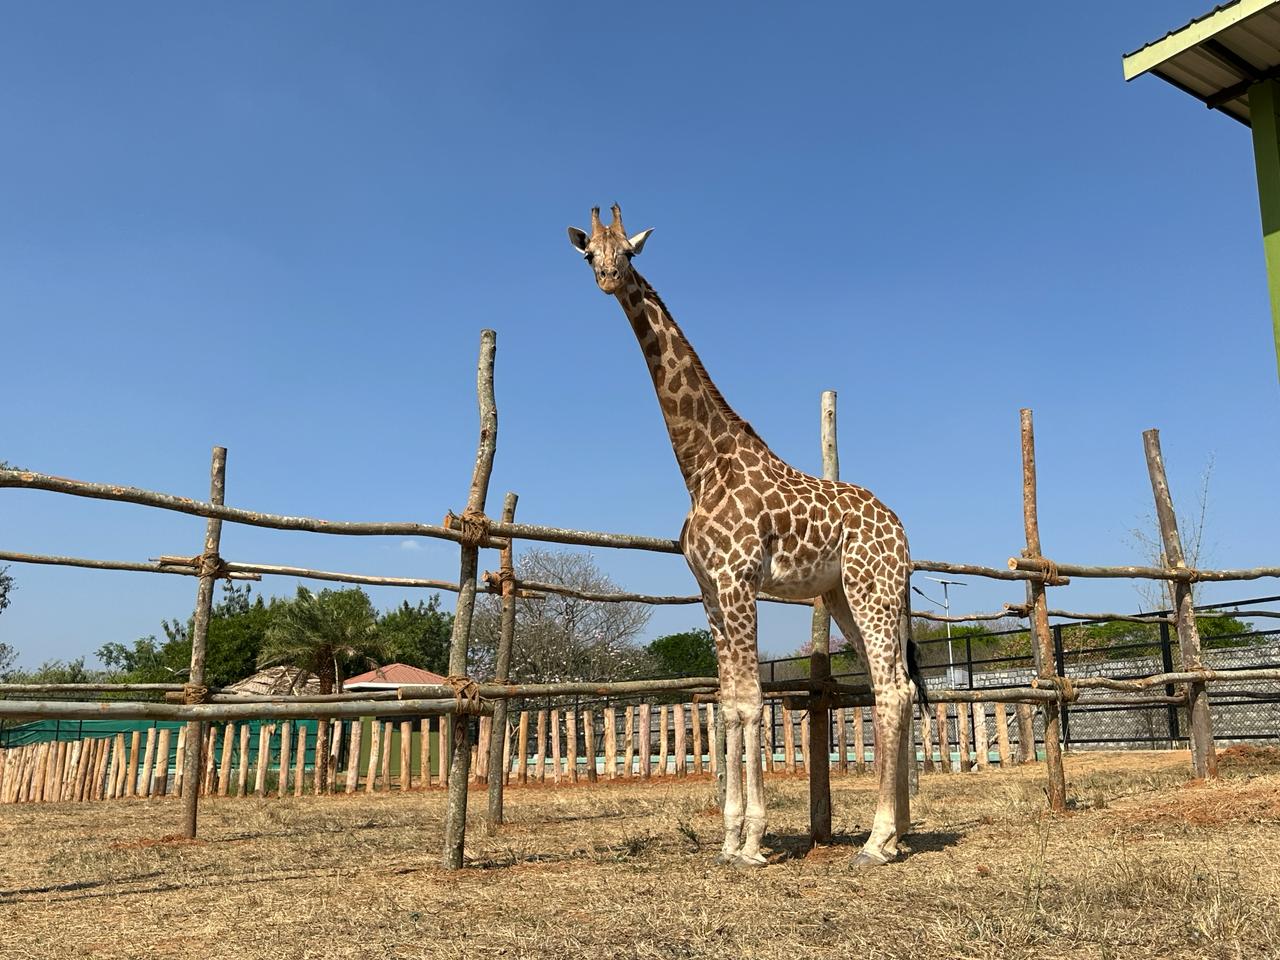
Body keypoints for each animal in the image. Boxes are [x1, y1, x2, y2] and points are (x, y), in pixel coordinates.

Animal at [568, 207, 921, 870]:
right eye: (589, 254)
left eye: (628, 251)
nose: (607, 278)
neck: (701, 465)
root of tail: (903, 532)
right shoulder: (710, 590)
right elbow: (728, 703)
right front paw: (730, 839)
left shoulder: (737, 581)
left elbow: (754, 702)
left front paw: (754, 841)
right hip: (843, 596)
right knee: (899, 688)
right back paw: (897, 835)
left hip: (873, 591)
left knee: (891, 690)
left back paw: (876, 840)